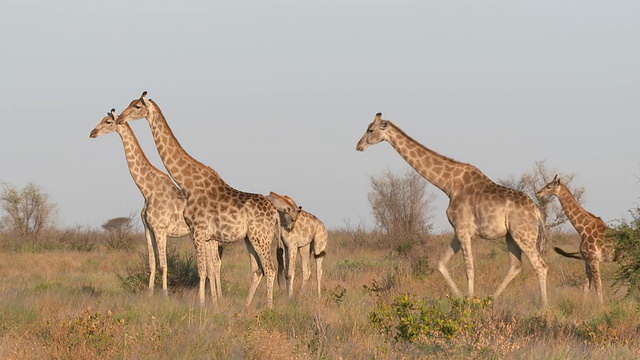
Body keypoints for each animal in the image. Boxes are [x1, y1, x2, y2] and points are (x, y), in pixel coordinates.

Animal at [89, 107, 221, 298]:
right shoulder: (148, 229)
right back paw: (216, 296)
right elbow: (152, 264)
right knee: (214, 264)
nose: (92, 132)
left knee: (215, 264)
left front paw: (164, 294)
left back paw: (215, 296)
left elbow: (163, 265)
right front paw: (150, 294)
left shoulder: (160, 229)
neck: (147, 190)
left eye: (107, 121)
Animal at [116, 91, 282, 308]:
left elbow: (202, 271)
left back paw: (269, 307)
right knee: (257, 270)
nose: (120, 118)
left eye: (137, 106)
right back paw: (246, 306)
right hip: (250, 239)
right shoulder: (207, 236)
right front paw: (213, 303)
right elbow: (209, 270)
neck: (188, 184)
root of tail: (275, 213)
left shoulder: (197, 231)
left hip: (260, 237)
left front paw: (203, 305)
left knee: (270, 268)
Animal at [356, 112, 552, 306]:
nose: (359, 146)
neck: (448, 184)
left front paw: (469, 302)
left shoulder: (463, 229)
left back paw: (543, 307)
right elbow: (441, 264)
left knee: (540, 266)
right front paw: (461, 298)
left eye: (370, 129)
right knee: (515, 265)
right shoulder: (458, 230)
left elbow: (469, 268)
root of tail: (536, 211)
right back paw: (490, 300)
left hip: (523, 234)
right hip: (511, 236)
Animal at [536, 174, 616, 304]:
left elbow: (598, 285)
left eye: (549, 186)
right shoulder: (586, 259)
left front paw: (601, 306)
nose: (538, 193)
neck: (583, 230)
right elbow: (586, 286)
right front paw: (584, 305)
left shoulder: (594, 258)